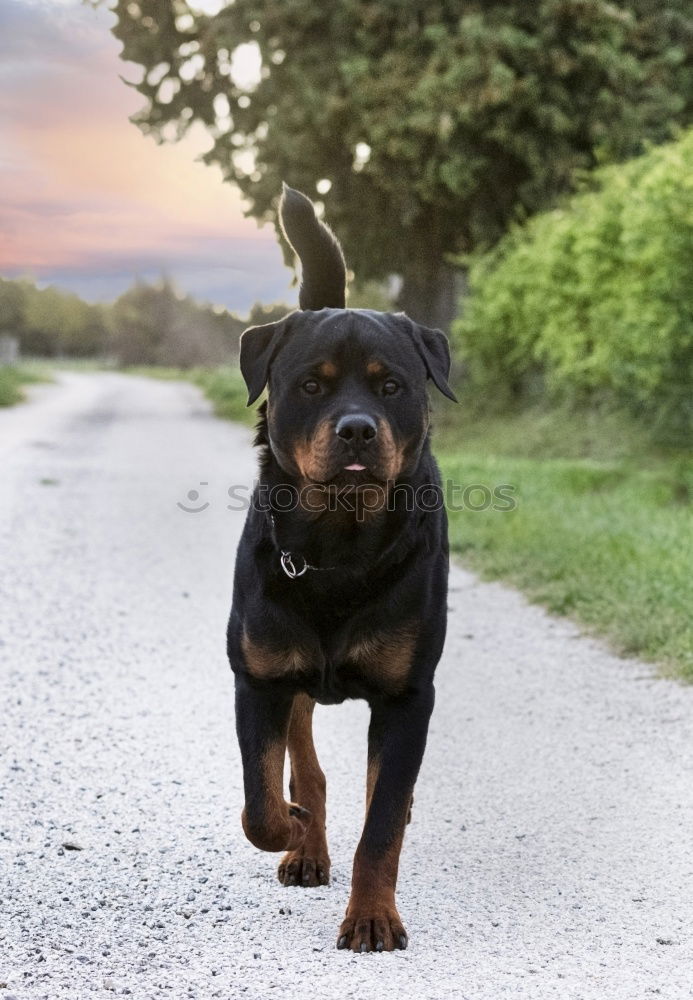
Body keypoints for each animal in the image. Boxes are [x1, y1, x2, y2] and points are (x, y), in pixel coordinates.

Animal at [226, 184, 454, 956]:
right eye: (310, 385)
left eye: (390, 386)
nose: (356, 428)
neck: (339, 546)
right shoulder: (258, 680)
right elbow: (261, 804)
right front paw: (293, 829)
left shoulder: (408, 698)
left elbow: (381, 823)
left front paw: (373, 917)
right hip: (290, 677)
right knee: (307, 770)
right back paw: (307, 843)